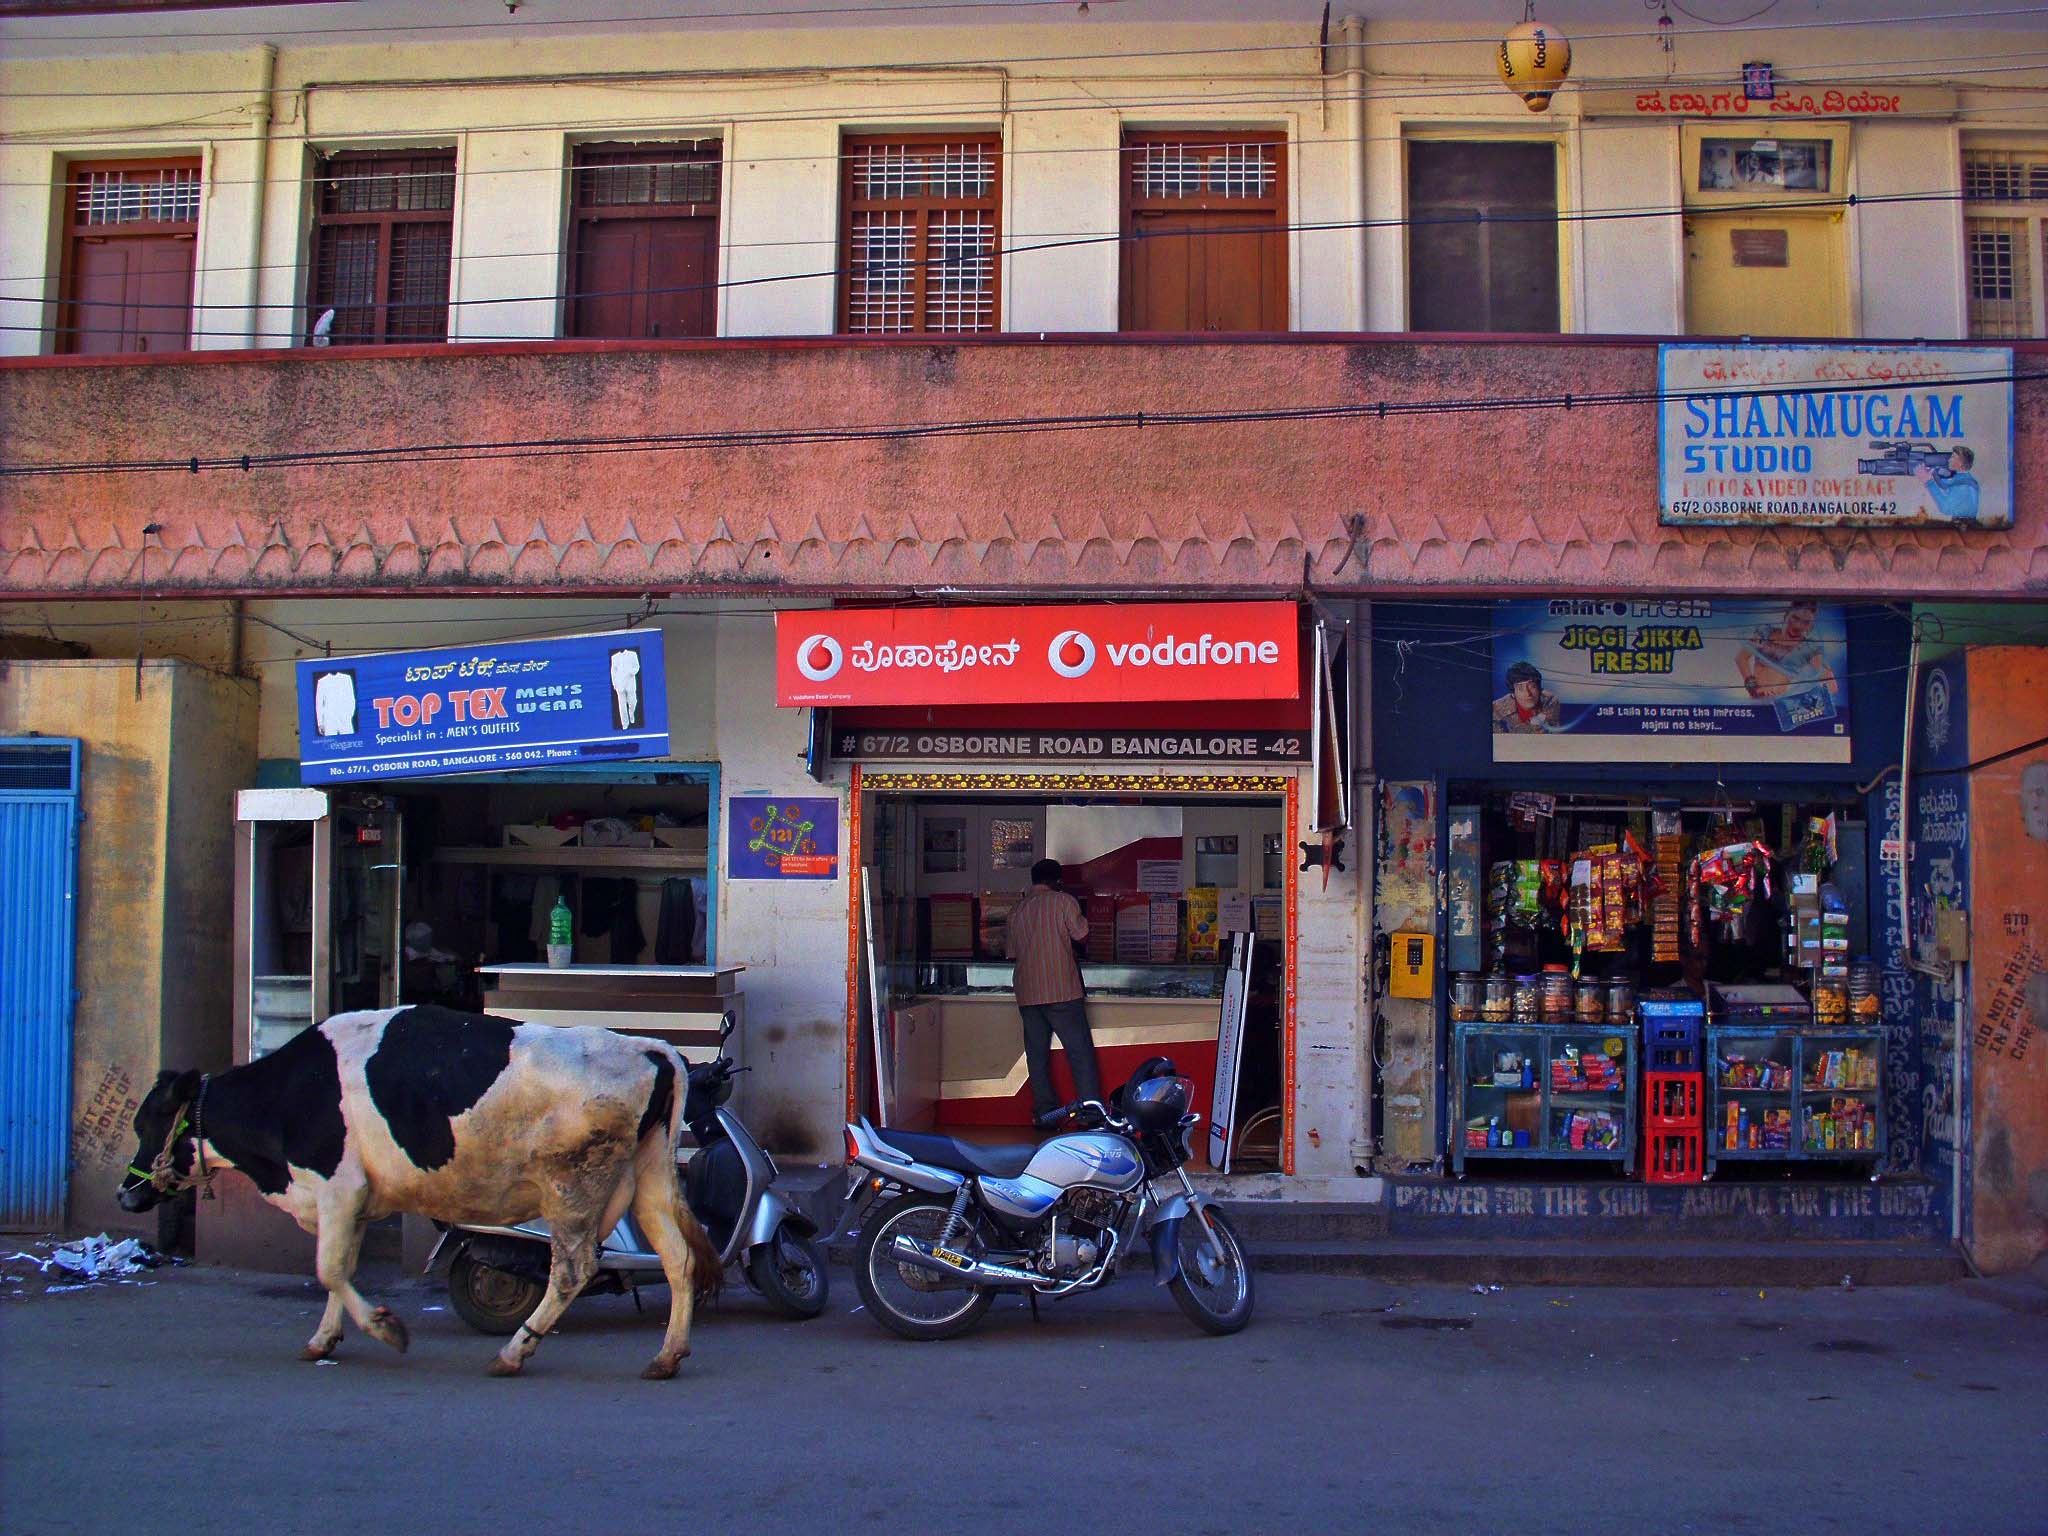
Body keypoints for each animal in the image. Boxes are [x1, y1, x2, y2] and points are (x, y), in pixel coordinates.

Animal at [119, 1003, 724, 1376]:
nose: (127, 1195)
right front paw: (324, 1339)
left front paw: (386, 1329)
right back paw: (668, 1356)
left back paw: (514, 1351)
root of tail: (647, 1048)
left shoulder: (339, 1187)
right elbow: (341, 1269)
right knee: (678, 1260)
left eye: (148, 1121)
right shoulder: (356, 1203)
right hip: (646, 1179)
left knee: (572, 1271)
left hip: (572, 1186)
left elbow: (329, 1269)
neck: (289, 1096)